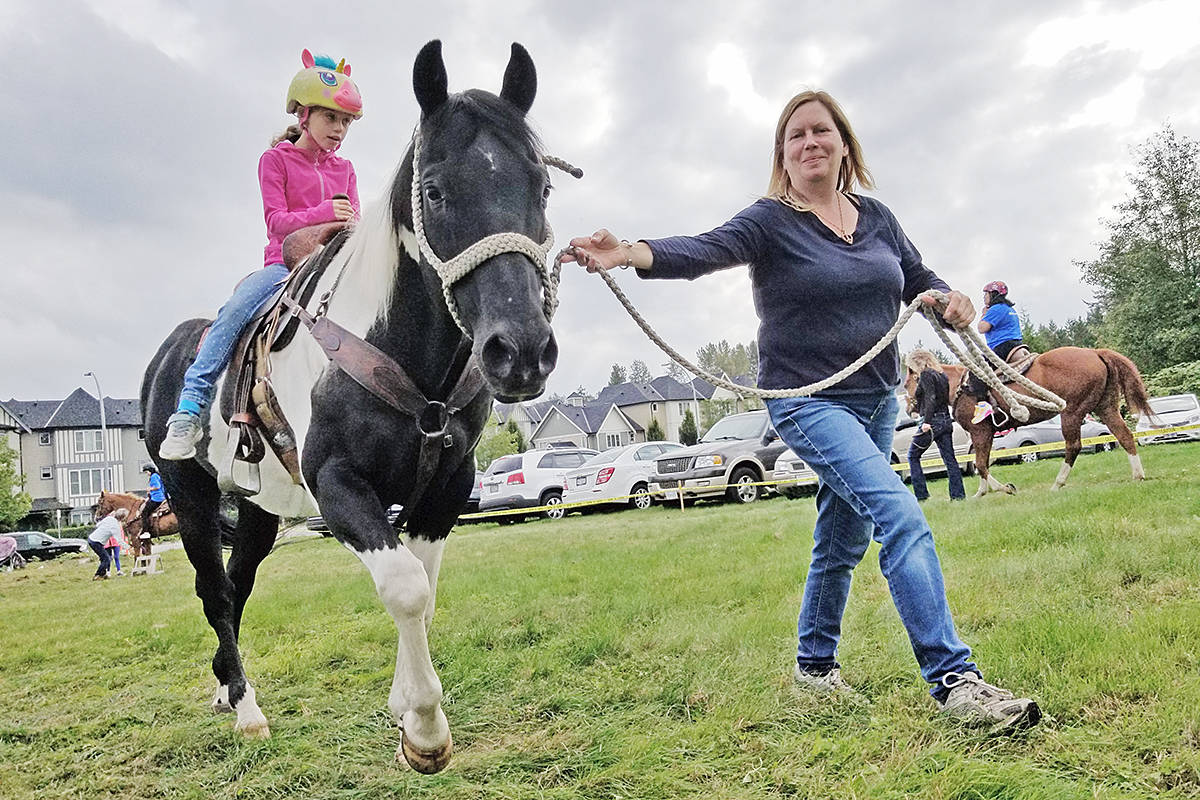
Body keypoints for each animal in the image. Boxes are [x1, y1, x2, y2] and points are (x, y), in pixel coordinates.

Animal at [139, 40, 556, 772]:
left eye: (543, 187)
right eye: (434, 190)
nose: (521, 351)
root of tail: (166, 357)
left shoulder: (447, 486)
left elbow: (423, 588)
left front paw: (404, 707)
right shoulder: (337, 485)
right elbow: (405, 588)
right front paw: (424, 731)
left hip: (258, 509)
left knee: (238, 585)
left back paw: (224, 689)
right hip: (190, 495)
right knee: (215, 590)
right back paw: (246, 709)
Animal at [907, 347, 1152, 496]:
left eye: (910, 381)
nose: (910, 408)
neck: (960, 387)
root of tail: (1094, 352)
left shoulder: (981, 433)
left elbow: (981, 464)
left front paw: (1005, 488)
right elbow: (982, 464)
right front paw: (980, 493)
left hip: (1071, 412)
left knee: (1073, 446)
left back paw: (1058, 483)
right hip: (1105, 407)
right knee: (1124, 435)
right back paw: (1138, 475)